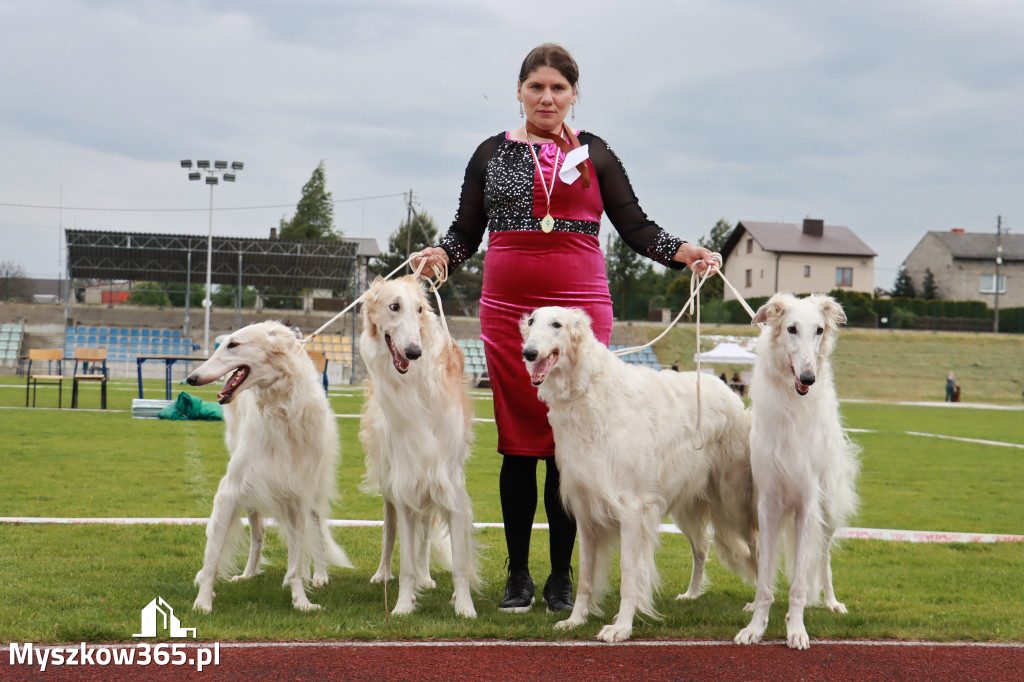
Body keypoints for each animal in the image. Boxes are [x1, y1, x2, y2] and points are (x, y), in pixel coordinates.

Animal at [187, 319, 352, 610]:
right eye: (222, 342)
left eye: (234, 344)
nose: (191, 378)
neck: (280, 409)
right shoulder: (231, 489)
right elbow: (213, 556)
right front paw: (204, 601)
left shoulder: (298, 494)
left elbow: (298, 560)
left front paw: (301, 601)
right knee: (259, 532)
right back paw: (248, 573)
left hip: (313, 490)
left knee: (318, 528)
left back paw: (319, 574)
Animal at [356, 274, 479, 614]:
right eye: (394, 306)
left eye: (421, 308)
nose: (414, 352)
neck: (417, 387)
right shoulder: (405, 485)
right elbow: (406, 561)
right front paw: (402, 606)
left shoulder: (450, 484)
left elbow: (459, 564)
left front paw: (465, 607)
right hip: (391, 488)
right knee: (390, 535)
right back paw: (383, 574)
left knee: (424, 536)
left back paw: (426, 577)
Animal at [524, 305, 757, 638]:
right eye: (531, 322)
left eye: (557, 324)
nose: (528, 353)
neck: (586, 389)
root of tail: (731, 394)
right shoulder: (585, 512)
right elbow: (585, 577)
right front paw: (576, 619)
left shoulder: (632, 509)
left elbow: (629, 574)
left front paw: (621, 626)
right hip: (687, 506)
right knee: (702, 549)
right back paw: (691, 594)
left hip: (735, 503)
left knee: (757, 548)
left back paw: (759, 603)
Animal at [733, 290, 860, 647]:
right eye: (791, 328)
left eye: (819, 330)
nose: (808, 378)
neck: (793, 407)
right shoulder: (768, 505)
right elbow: (764, 580)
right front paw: (755, 627)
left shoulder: (807, 505)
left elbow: (800, 585)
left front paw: (796, 630)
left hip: (827, 510)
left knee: (824, 558)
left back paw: (831, 602)